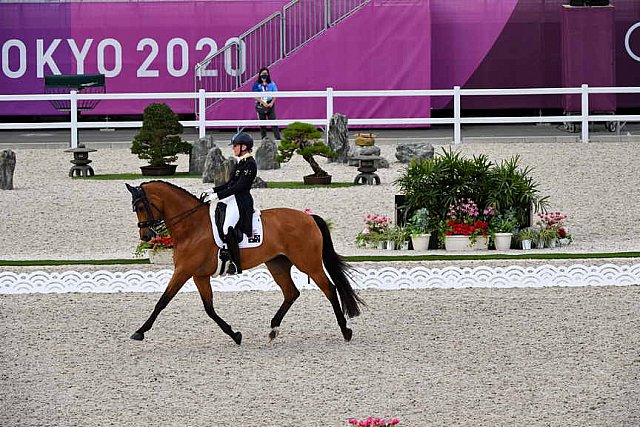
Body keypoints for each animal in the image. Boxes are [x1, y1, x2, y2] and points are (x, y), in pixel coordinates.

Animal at [125, 180, 364, 344]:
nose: (145, 236)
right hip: (277, 264)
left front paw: (140, 331)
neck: (191, 226)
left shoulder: (184, 271)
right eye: (135, 209)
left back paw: (345, 331)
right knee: (291, 293)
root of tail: (309, 217)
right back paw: (273, 329)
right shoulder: (198, 274)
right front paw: (235, 335)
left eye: (142, 207)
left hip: (308, 263)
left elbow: (162, 301)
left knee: (330, 289)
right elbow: (209, 308)